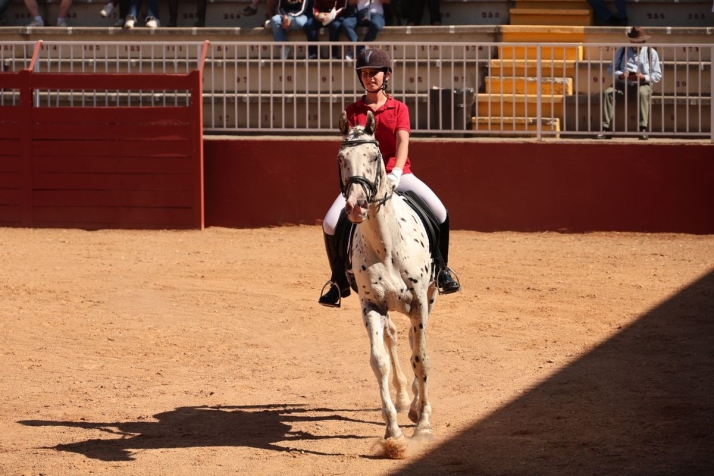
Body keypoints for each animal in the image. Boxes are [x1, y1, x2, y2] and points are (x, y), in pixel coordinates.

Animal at [337, 110, 438, 457]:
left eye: (374, 156)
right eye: (341, 159)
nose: (355, 206)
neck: (386, 243)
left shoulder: (419, 301)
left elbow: (421, 357)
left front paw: (423, 426)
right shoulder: (372, 305)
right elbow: (379, 361)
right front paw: (393, 432)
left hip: (429, 298)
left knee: (413, 342)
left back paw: (418, 406)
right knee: (395, 339)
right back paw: (406, 399)